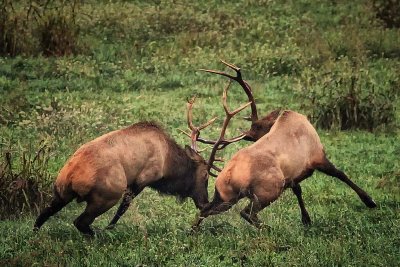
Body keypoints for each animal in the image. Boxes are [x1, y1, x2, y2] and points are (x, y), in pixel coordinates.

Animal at [34, 111, 216, 237]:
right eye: (205, 176)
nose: (205, 203)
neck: (168, 162)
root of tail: (71, 177)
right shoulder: (143, 178)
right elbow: (123, 208)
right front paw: (109, 228)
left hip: (61, 192)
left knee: (43, 215)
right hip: (106, 196)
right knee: (80, 222)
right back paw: (100, 236)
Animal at [192, 60, 376, 230]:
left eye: (255, 136)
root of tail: (229, 175)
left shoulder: (293, 176)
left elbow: (298, 191)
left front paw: (306, 219)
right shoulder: (317, 156)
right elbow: (341, 174)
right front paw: (369, 201)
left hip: (226, 196)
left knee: (205, 210)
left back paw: (193, 230)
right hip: (268, 190)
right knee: (247, 212)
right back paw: (269, 228)